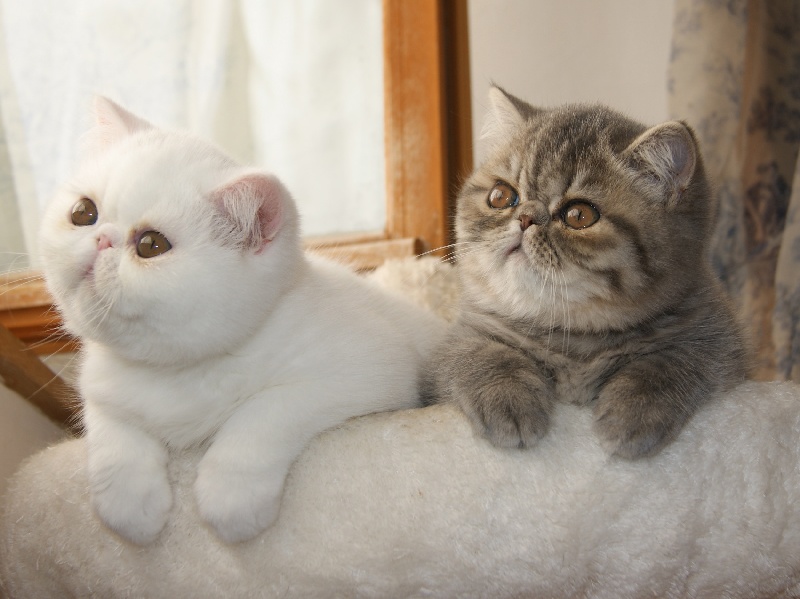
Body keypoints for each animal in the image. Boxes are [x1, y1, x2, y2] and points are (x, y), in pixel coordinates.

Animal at [39, 97, 444, 544]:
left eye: (151, 245)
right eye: (83, 212)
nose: (100, 239)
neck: (174, 372)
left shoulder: (371, 365)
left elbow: (266, 410)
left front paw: (231, 494)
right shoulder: (100, 385)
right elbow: (111, 427)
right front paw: (128, 501)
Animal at [422, 85, 748, 460]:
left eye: (579, 215)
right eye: (500, 196)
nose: (525, 218)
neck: (572, 334)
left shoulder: (720, 340)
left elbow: (674, 359)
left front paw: (634, 409)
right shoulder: (455, 343)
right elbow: (477, 352)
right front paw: (506, 396)